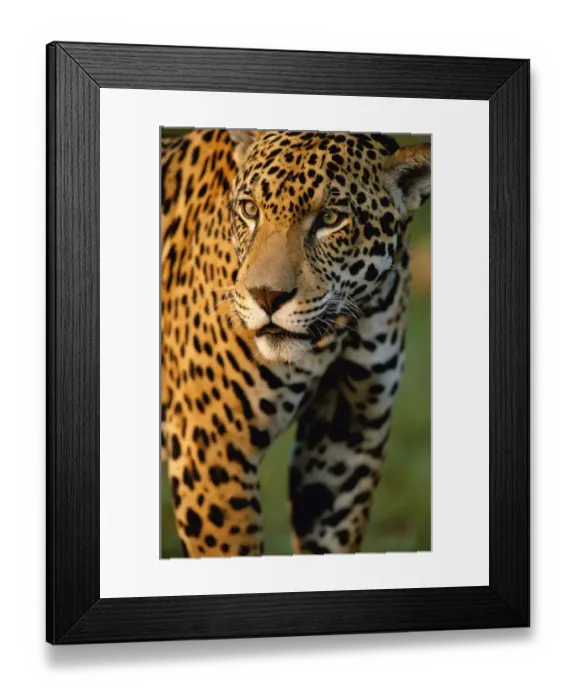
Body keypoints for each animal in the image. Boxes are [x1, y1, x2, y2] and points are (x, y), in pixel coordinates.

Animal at [161, 128, 430, 557]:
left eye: (331, 219)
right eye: (250, 210)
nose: (267, 297)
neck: (341, 329)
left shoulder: (345, 443)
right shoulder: (212, 449)